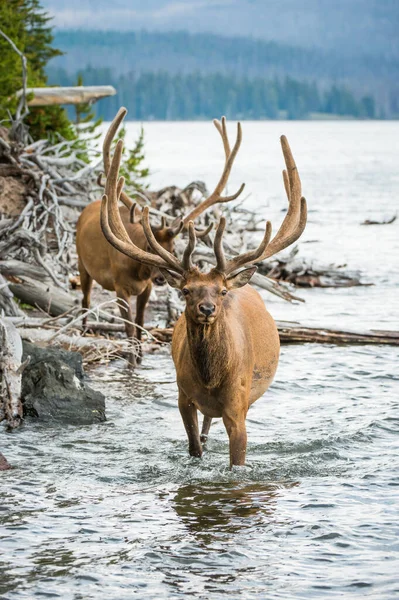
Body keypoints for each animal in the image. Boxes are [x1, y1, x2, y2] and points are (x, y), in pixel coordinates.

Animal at [75, 106, 244, 366]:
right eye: (149, 246)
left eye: (173, 248)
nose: (160, 279)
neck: (139, 272)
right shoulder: (119, 287)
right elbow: (129, 327)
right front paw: (131, 361)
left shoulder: (145, 289)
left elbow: (140, 323)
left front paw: (140, 359)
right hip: (82, 265)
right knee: (85, 301)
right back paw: (84, 331)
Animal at [101, 119, 308, 466]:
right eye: (186, 290)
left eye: (222, 291)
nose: (207, 309)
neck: (211, 380)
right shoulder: (183, 397)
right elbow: (193, 447)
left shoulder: (238, 405)